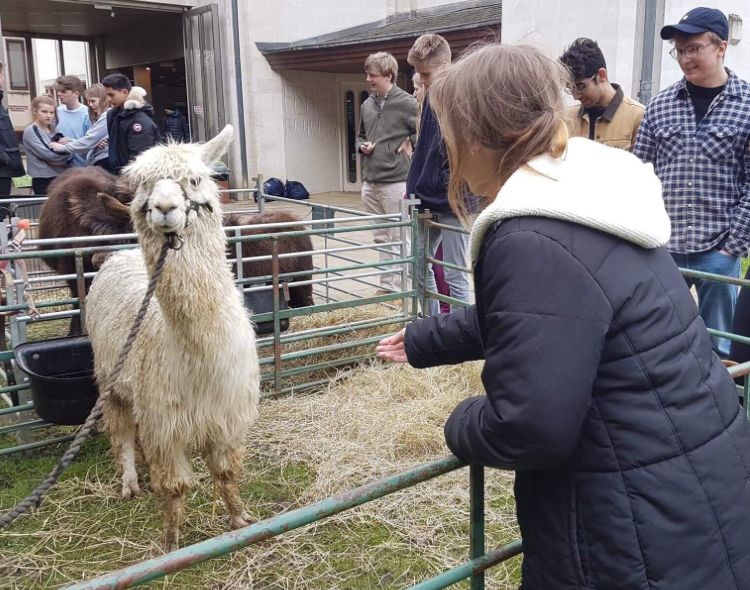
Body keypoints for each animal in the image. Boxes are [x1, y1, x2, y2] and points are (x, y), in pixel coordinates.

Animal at [85, 125, 260, 550]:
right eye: (144, 184)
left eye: (194, 180)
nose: (164, 207)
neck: (199, 362)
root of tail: (118, 254)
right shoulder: (165, 423)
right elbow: (176, 487)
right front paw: (172, 541)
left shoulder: (228, 417)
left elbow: (227, 474)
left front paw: (240, 519)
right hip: (110, 378)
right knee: (122, 432)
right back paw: (130, 482)